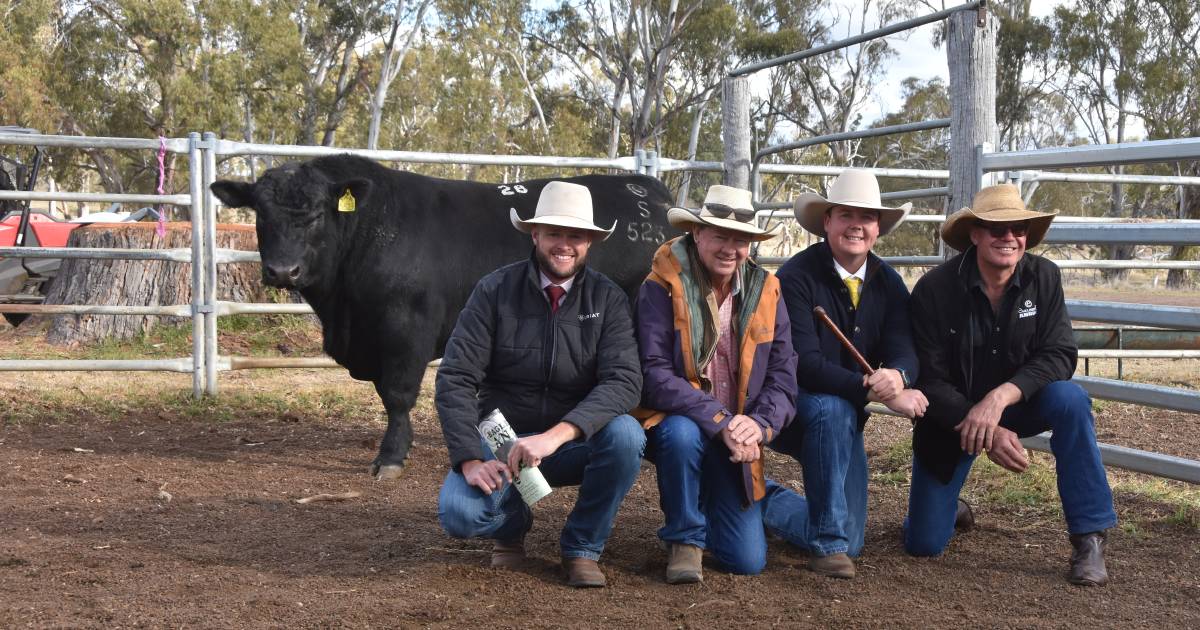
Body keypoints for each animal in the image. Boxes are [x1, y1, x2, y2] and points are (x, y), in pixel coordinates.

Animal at [212, 156, 681, 477]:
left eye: (313, 215)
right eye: (260, 213)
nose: (281, 271)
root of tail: (647, 190)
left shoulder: (405, 331)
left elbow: (397, 396)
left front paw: (389, 457)